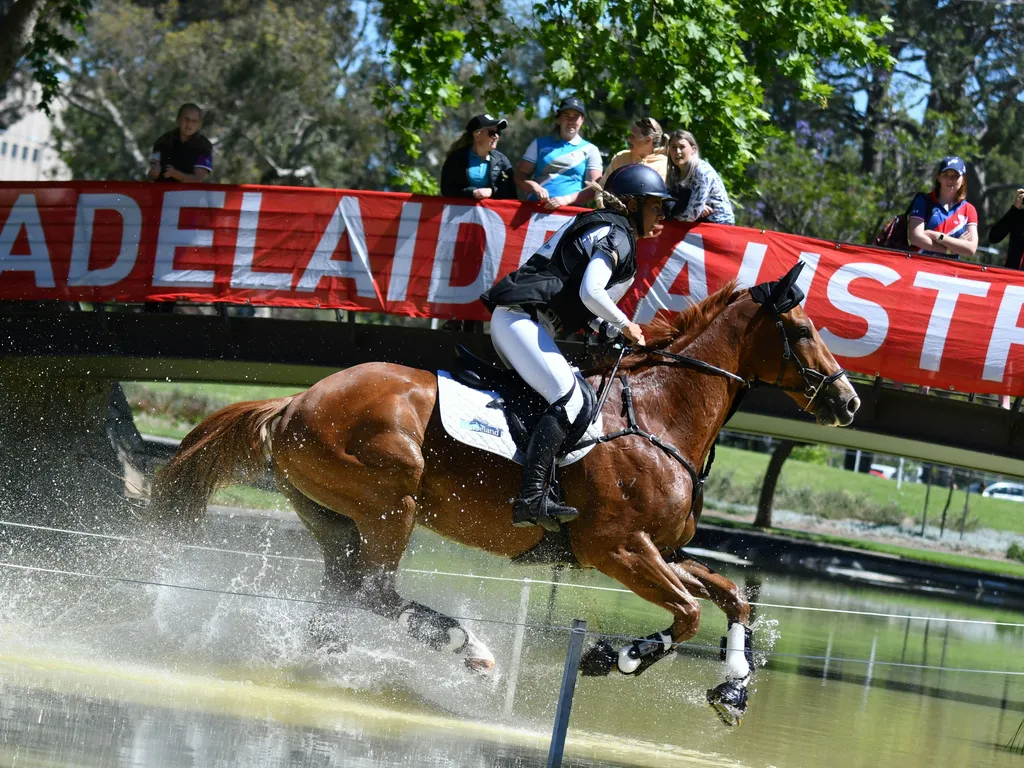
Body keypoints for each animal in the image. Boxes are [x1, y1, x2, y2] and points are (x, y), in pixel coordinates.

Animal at [149, 268, 856, 729]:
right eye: (801, 329)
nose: (848, 403)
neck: (661, 415)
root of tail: (297, 400)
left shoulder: (660, 549)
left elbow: (732, 596)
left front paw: (732, 691)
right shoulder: (617, 548)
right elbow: (686, 614)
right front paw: (612, 656)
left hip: (336, 519)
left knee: (345, 596)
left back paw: (332, 667)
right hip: (390, 503)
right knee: (374, 590)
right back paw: (466, 648)